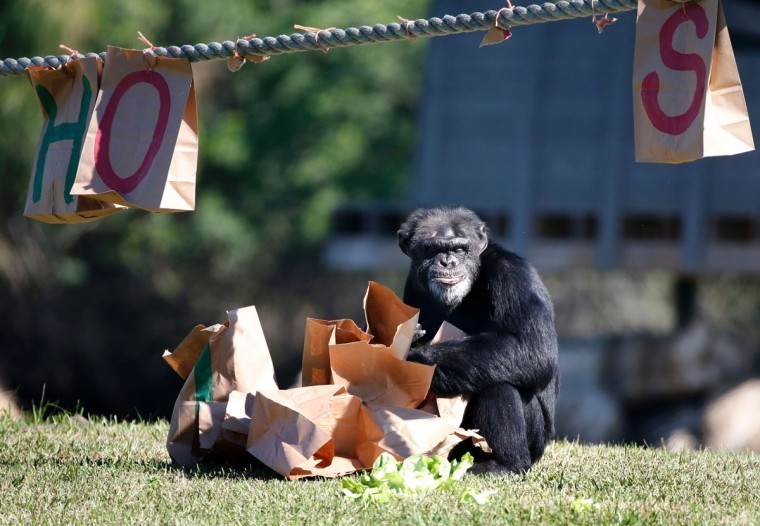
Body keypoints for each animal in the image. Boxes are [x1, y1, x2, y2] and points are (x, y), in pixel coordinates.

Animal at [398, 207, 560, 478]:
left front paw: (412, 359)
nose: (448, 262)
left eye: (460, 249)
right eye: (432, 249)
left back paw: (505, 464)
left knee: (496, 380)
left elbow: (533, 349)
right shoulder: (411, 285)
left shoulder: (514, 275)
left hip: (535, 441)